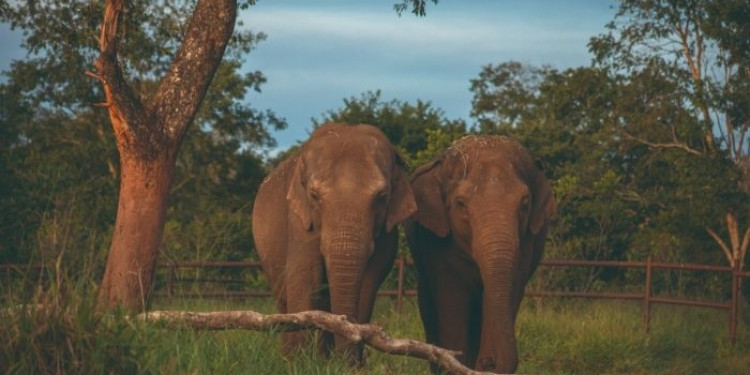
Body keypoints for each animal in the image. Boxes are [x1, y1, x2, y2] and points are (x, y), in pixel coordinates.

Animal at [253, 122, 418, 364]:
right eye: (314, 195)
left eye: (382, 196)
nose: (347, 360)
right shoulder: (299, 220)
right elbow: (305, 276)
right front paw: (298, 364)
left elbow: (369, 281)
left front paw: (347, 365)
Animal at [406, 134, 560, 374]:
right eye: (461, 204)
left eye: (525, 204)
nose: (489, 362)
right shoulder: (436, 243)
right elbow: (451, 295)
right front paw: (455, 363)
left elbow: (508, 290)